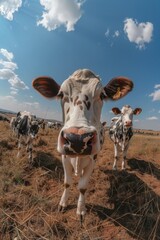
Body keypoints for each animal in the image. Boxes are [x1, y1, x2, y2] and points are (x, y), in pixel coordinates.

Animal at [31, 68, 133, 222]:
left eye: (102, 95)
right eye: (61, 94)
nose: (77, 139)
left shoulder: (92, 160)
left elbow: (83, 187)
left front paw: (80, 210)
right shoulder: (64, 158)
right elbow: (67, 182)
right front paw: (63, 204)